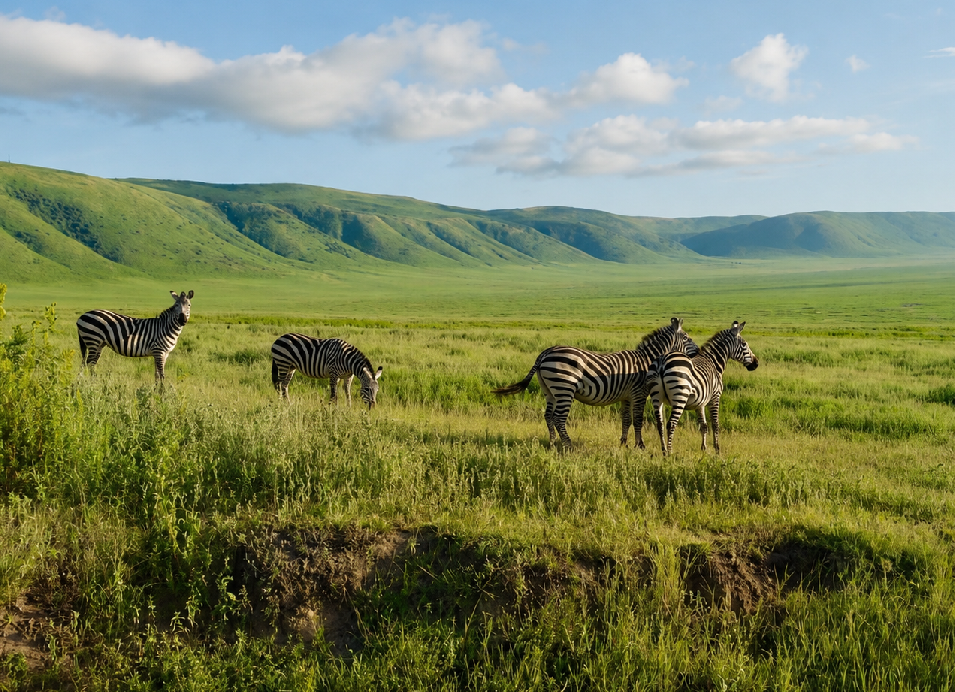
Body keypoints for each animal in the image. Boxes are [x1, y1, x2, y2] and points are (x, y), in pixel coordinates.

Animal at [492, 318, 698, 448]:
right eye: (687, 337)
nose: (697, 352)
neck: (646, 360)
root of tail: (545, 353)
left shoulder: (626, 396)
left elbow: (626, 420)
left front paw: (623, 443)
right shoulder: (639, 393)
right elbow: (638, 420)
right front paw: (640, 445)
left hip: (549, 390)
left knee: (548, 416)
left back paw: (552, 443)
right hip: (564, 388)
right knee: (558, 418)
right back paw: (569, 445)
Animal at [646, 320, 758, 456]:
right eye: (744, 344)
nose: (756, 363)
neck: (714, 363)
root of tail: (662, 361)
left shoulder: (699, 403)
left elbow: (703, 425)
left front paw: (704, 448)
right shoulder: (715, 397)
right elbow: (715, 424)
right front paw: (717, 449)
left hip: (657, 397)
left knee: (660, 424)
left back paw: (664, 451)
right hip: (680, 397)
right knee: (671, 424)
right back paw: (670, 453)